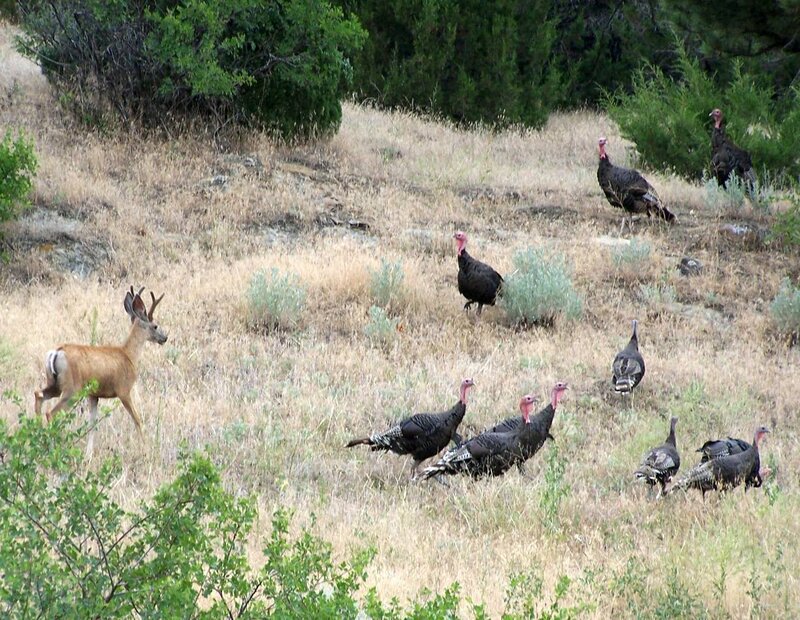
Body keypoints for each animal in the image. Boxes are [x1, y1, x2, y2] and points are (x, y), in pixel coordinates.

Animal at [34, 286, 167, 456]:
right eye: (155, 325)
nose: (165, 337)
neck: (128, 355)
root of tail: (56, 352)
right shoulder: (123, 390)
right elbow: (137, 419)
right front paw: (145, 448)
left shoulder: (93, 395)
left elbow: (92, 423)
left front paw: (88, 454)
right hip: (72, 388)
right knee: (51, 413)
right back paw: (52, 445)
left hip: (55, 384)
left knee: (38, 394)